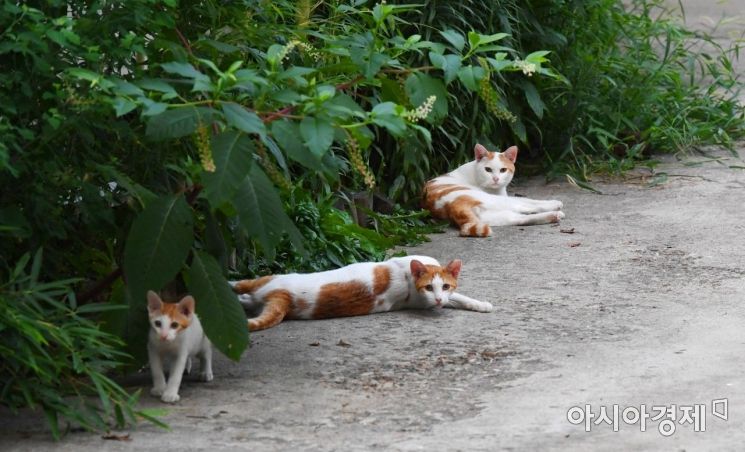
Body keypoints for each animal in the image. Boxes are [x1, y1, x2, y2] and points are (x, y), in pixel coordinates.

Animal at [230, 256, 492, 330]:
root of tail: (284, 297)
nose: (437, 298)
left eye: (444, 286)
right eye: (429, 287)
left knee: (242, 292)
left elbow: (458, 298)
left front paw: (480, 304)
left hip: (267, 283)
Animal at [424, 144, 564, 237]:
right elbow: (529, 201)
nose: (496, 179)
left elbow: (527, 201)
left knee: (518, 218)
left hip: (493, 217)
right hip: (493, 201)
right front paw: (554, 203)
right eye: (488, 169)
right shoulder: (504, 197)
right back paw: (556, 211)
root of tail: (451, 207)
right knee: (523, 207)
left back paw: (553, 216)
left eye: (503, 170)